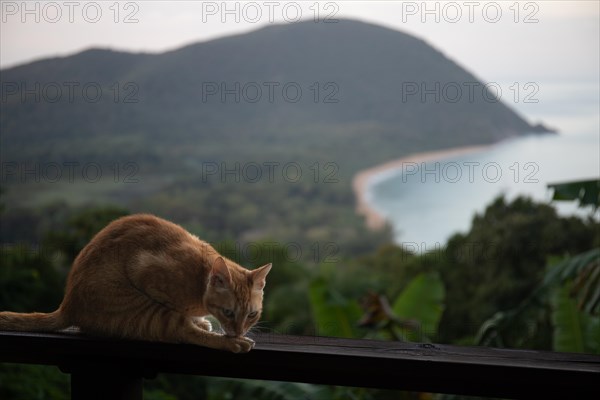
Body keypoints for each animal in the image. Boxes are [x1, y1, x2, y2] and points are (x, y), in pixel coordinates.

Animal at [0, 214, 272, 352]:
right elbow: (186, 325)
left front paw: (201, 320)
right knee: (181, 331)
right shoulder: (146, 270)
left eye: (252, 315)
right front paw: (210, 328)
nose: (238, 331)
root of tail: (67, 305)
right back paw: (232, 344)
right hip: (144, 310)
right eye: (228, 312)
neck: (198, 283)